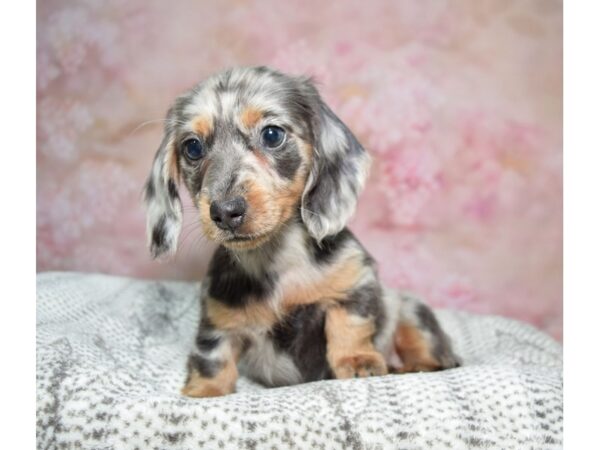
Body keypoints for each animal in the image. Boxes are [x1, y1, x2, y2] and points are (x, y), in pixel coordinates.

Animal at [142, 66, 460, 398]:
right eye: (192, 147)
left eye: (272, 135)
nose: (225, 212)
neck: (278, 262)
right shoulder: (218, 322)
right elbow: (212, 360)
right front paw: (204, 392)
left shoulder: (355, 283)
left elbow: (350, 325)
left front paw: (357, 360)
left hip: (412, 311)